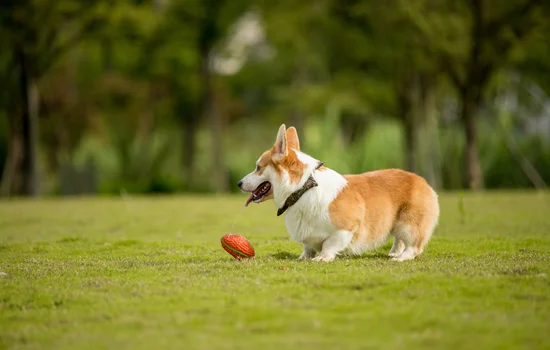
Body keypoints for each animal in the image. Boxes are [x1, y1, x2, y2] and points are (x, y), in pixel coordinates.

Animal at [237, 124, 440, 262]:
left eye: (258, 167)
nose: (239, 183)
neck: (303, 188)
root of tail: (422, 181)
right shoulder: (307, 236)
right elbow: (308, 246)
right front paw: (304, 257)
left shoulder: (346, 228)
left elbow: (329, 244)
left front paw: (322, 257)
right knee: (399, 240)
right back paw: (394, 252)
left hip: (409, 224)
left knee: (415, 245)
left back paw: (401, 257)